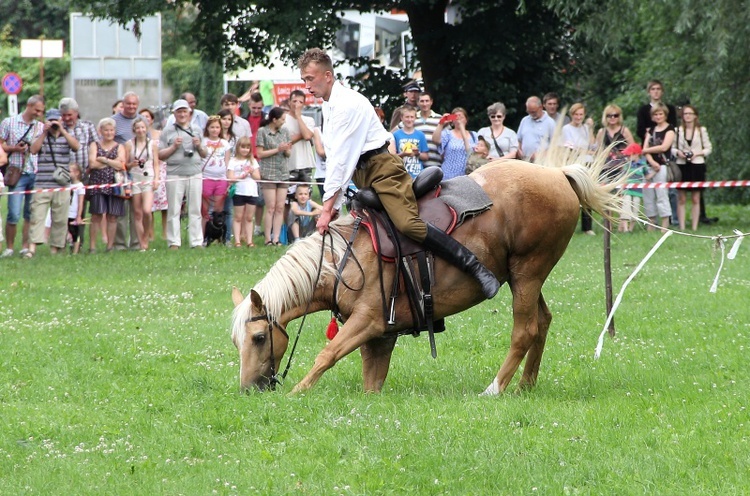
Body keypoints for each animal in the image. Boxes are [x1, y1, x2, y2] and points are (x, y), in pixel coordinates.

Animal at [229, 144, 624, 396]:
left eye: (259, 337)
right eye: (237, 341)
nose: (249, 390)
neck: (344, 258)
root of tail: (557, 174)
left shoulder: (368, 321)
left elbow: (327, 355)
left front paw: (296, 393)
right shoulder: (379, 336)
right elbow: (371, 381)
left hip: (527, 273)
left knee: (524, 330)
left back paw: (494, 389)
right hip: (524, 277)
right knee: (542, 322)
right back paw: (525, 387)